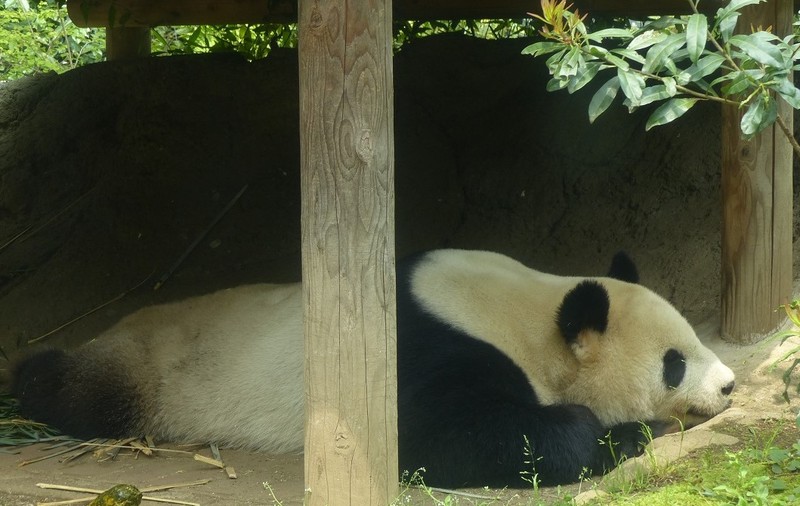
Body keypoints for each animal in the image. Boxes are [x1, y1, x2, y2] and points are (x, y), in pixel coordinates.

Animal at [8, 249, 735, 488]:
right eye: (674, 363)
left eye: (694, 342)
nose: (729, 384)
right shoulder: (429, 351)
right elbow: (441, 438)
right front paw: (619, 434)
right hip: (152, 368)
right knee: (81, 391)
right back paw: (26, 378)